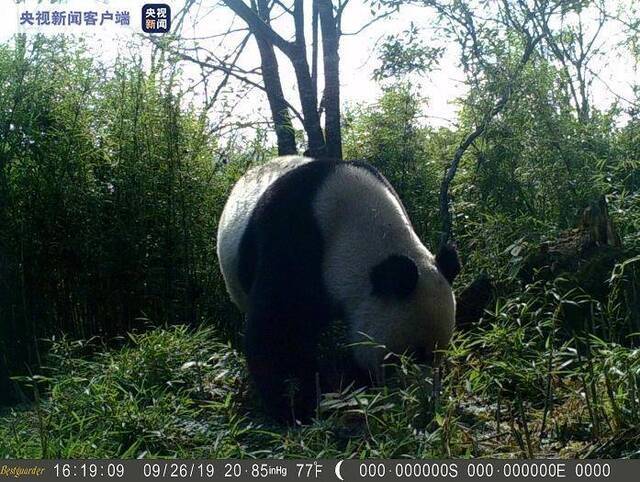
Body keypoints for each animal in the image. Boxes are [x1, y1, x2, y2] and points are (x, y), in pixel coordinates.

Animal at [218, 156, 458, 420]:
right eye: (415, 353)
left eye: (440, 354)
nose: (425, 402)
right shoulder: (291, 238)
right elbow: (277, 329)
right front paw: (297, 406)